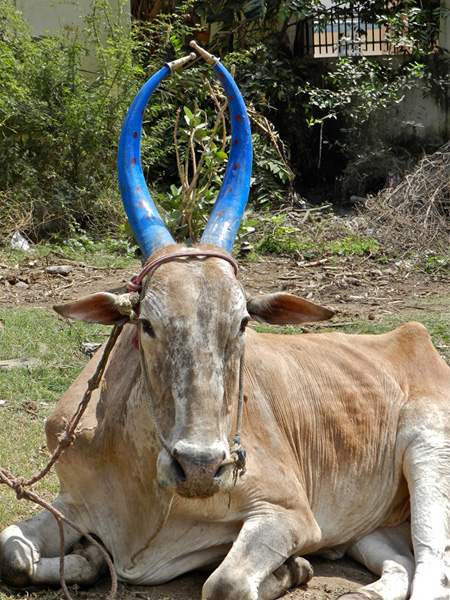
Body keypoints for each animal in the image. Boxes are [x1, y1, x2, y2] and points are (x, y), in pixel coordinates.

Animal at [1, 41, 449, 600]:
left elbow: (227, 583)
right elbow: (13, 553)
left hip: (430, 451)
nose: (200, 467)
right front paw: (85, 561)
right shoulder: (71, 502)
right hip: (373, 529)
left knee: (433, 569)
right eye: (146, 324)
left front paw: (292, 571)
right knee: (402, 564)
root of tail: (415, 338)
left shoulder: (290, 512)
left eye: (241, 323)